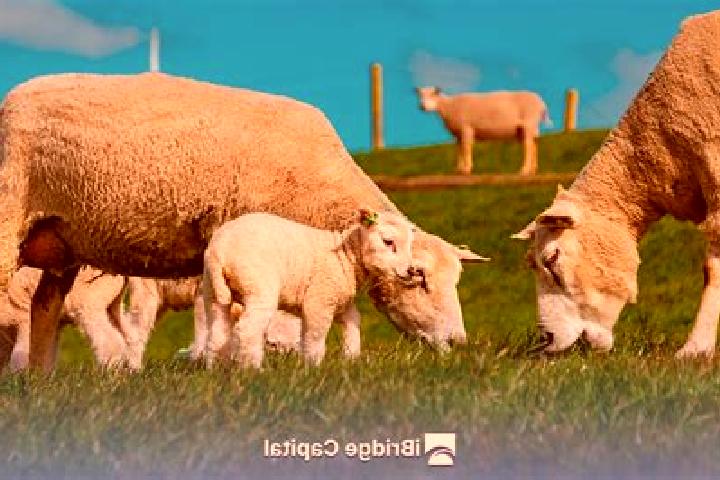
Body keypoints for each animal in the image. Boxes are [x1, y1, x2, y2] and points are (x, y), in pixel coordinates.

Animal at [203, 209, 418, 367]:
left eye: (410, 245)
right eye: (388, 242)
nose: (411, 270)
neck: (346, 256)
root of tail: (219, 250)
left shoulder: (339, 300)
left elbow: (353, 322)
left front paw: (350, 358)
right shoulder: (320, 300)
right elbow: (315, 338)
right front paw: (313, 367)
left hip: (213, 292)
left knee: (216, 334)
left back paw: (215, 369)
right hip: (259, 287)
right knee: (247, 330)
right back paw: (252, 370)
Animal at [416, 87, 549, 175]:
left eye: (433, 94)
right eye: (420, 95)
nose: (422, 106)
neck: (449, 106)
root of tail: (541, 103)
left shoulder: (466, 128)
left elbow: (466, 148)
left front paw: (467, 169)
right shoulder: (458, 133)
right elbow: (459, 149)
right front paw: (459, 169)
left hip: (529, 123)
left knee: (528, 146)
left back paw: (524, 170)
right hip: (525, 128)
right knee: (534, 145)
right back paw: (533, 170)